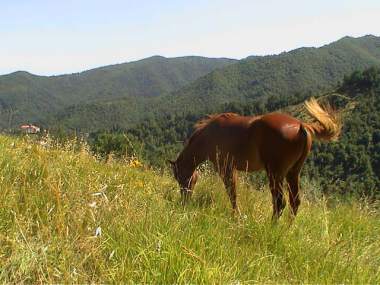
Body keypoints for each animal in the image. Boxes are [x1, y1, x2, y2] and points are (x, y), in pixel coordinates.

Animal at [169, 97, 342, 220]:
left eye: (180, 178)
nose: (184, 201)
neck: (210, 135)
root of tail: (301, 126)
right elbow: (233, 192)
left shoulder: (225, 169)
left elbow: (232, 193)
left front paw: (236, 216)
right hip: (293, 173)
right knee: (295, 202)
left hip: (275, 174)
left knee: (279, 202)